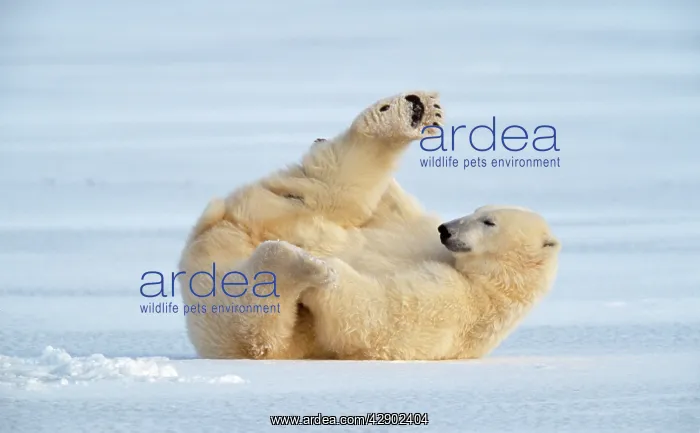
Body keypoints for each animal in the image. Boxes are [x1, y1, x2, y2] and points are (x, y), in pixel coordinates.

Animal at [299, 205, 561, 361]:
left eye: (489, 222)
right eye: (476, 210)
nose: (445, 229)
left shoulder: (455, 301)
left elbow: (377, 315)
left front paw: (319, 265)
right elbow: (399, 216)